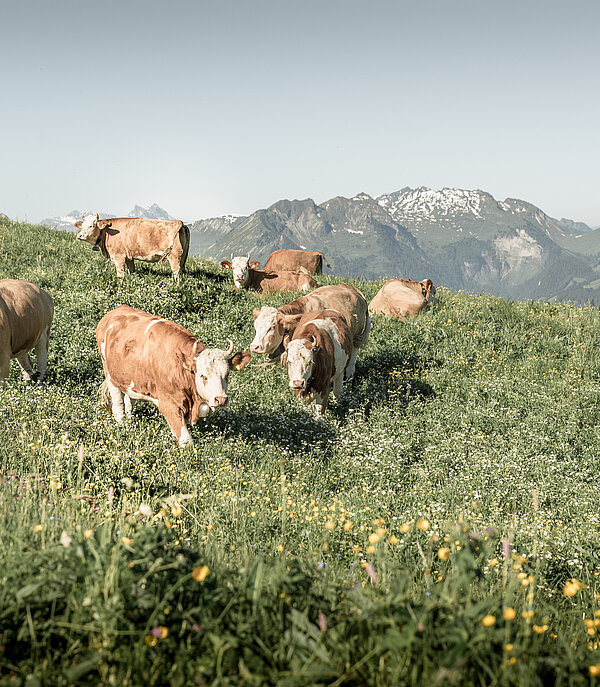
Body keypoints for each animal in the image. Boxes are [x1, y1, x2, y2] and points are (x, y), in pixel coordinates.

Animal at [96, 306, 251, 446]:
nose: (221, 399)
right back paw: (123, 426)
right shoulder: (168, 404)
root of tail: (114, 312)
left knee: (129, 401)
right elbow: (186, 441)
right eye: (203, 376)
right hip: (110, 375)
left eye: (227, 374)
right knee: (118, 404)